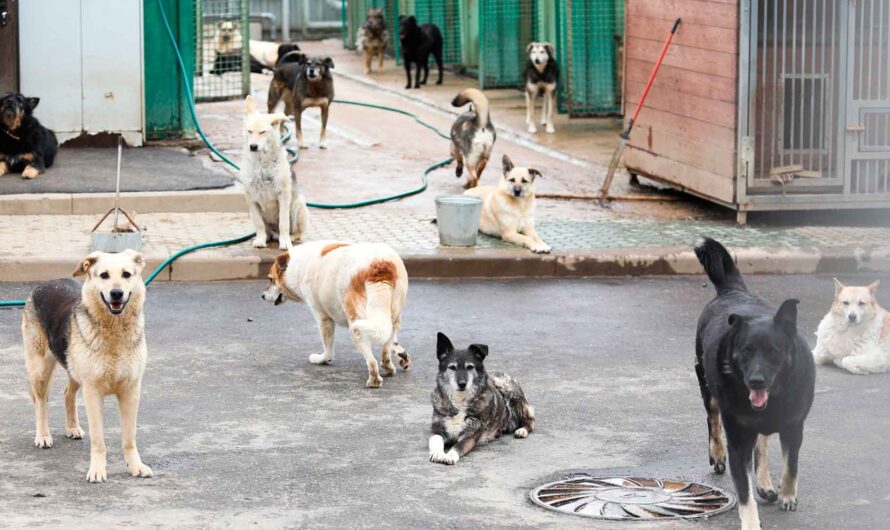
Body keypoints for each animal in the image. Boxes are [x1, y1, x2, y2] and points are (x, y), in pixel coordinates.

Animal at [21, 250, 153, 480]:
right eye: (104, 275)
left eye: (127, 274)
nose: (116, 293)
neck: (114, 331)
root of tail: (45, 283)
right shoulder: (93, 392)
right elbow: (98, 440)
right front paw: (98, 470)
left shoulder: (131, 392)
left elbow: (129, 438)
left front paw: (135, 466)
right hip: (40, 371)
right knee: (41, 402)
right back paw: (43, 435)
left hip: (73, 371)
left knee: (67, 393)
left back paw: (72, 427)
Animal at [236, 94, 308, 248]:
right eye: (249, 131)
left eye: (263, 132)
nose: (253, 146)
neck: (261, 164)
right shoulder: (251, 198)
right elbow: (259, 224)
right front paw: (261, 239)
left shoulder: (284, 195)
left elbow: (284, 223)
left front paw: (285, 242)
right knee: (267, 228)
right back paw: (267, 236)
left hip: (298, 204)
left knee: (297, 232)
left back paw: (290, 238)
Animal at [256, 241, 410, 386]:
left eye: (271, 279)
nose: (262, 296)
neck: (298, 266)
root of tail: (379, 265)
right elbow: (393, 342)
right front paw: (401, 354)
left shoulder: (323, 318)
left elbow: (328, 347)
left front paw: (322, 359)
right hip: (392, 316)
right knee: (386, 342)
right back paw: (388, 367)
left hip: (355, 324)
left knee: (370, 359)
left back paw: (374, 380)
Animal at [428, 332, 536, 464]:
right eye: (452, 367)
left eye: (470, 367)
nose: (462, 384)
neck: (460, 400)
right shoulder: (437, 430)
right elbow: (435, 441)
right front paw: (437, 453)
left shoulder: (470, 436)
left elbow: (458, 446)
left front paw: (450, 455)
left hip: (508, 390)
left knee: (530, 420)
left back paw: (522, 430)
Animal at [692, 238, 812, 528]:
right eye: (745, 351)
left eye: (773, 352)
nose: (756, 380)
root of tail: (732, 291)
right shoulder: (738, 441)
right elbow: (744, 495)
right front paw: (750, 521)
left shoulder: (794, 426)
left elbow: (791, 465)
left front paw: (787, 495)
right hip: (706, 385)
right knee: (713, 420)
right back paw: (717, 453)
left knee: (763, 443)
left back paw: (765, 482)